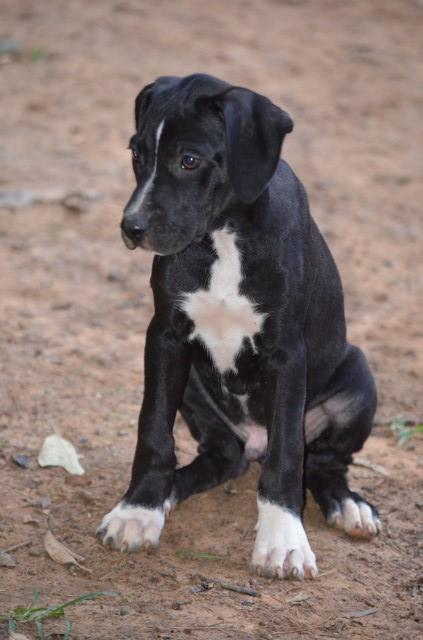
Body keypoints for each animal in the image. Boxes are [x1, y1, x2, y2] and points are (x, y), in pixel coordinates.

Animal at [97, 74, 380, 580]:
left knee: (324, 463)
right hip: (195, 387)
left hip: (358, 379)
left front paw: (283, 540)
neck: (223, 236)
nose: (132, 227)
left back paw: (348, 504)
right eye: (136, 154)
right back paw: (171, 490)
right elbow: (152, 429)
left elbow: (288, 453)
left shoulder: (287, 355)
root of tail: (253, 443)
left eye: (189, 160)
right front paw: (139, 509)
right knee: (222, 457)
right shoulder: (165, 337)